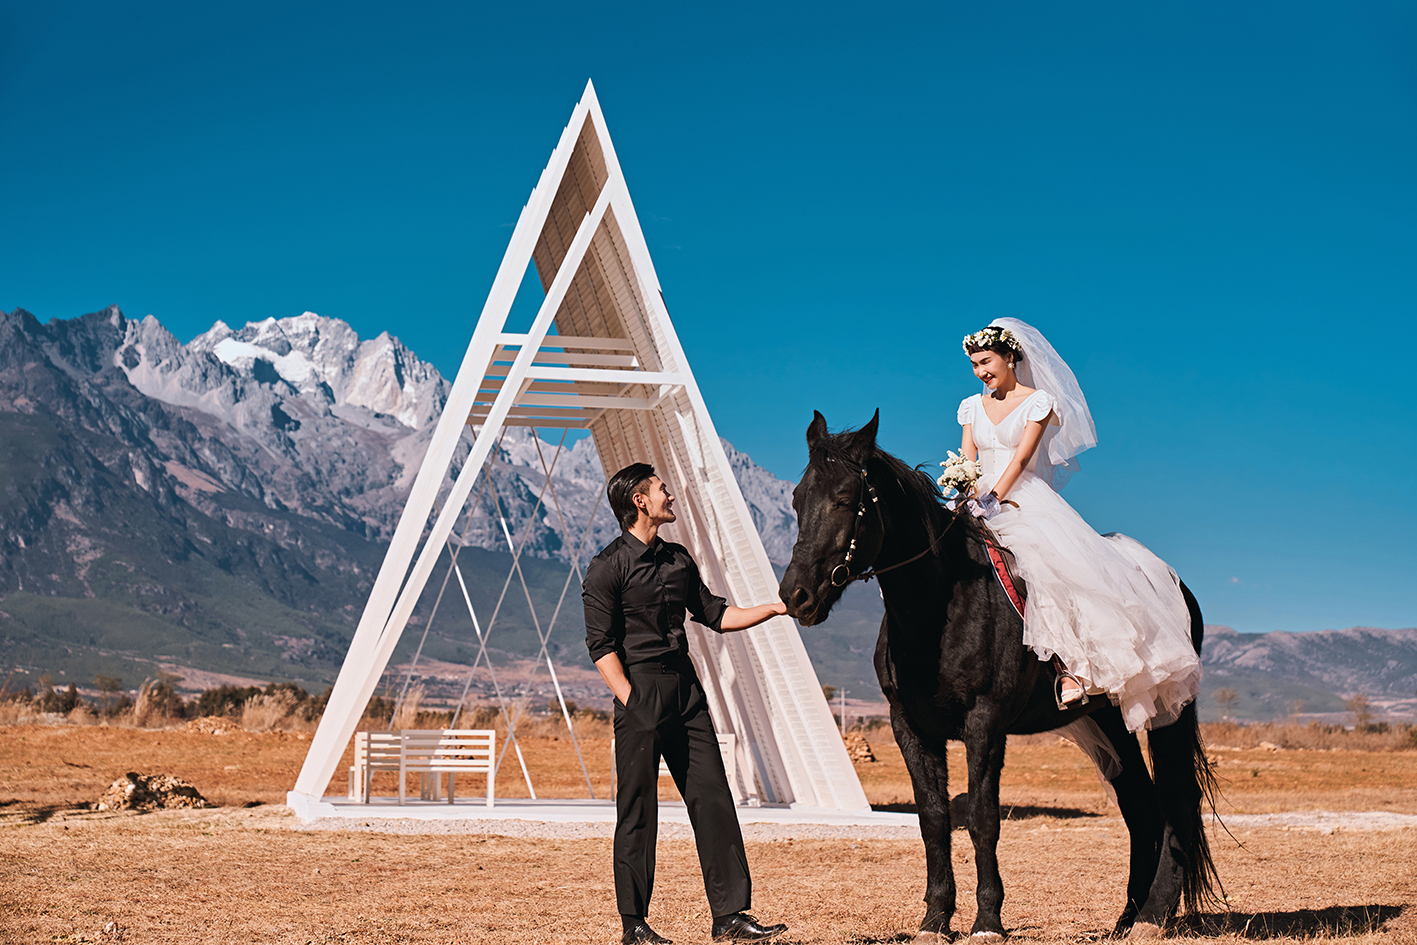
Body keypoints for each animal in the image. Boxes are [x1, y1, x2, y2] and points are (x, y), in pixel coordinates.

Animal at [778, 411, 1218, 941]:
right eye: (797, 498)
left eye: (846, 498)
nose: (795, 596)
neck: (939, 607)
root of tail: (1174, 581)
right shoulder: (910, 727)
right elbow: (934, 817)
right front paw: (935, 918)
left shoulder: (984, 723)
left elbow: (983, 816)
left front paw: (987, 919)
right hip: (1110, 717)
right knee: (1141, 803)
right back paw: (1126, 916)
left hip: (1167, 711)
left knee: (1177, 804)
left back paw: (1152, 917)